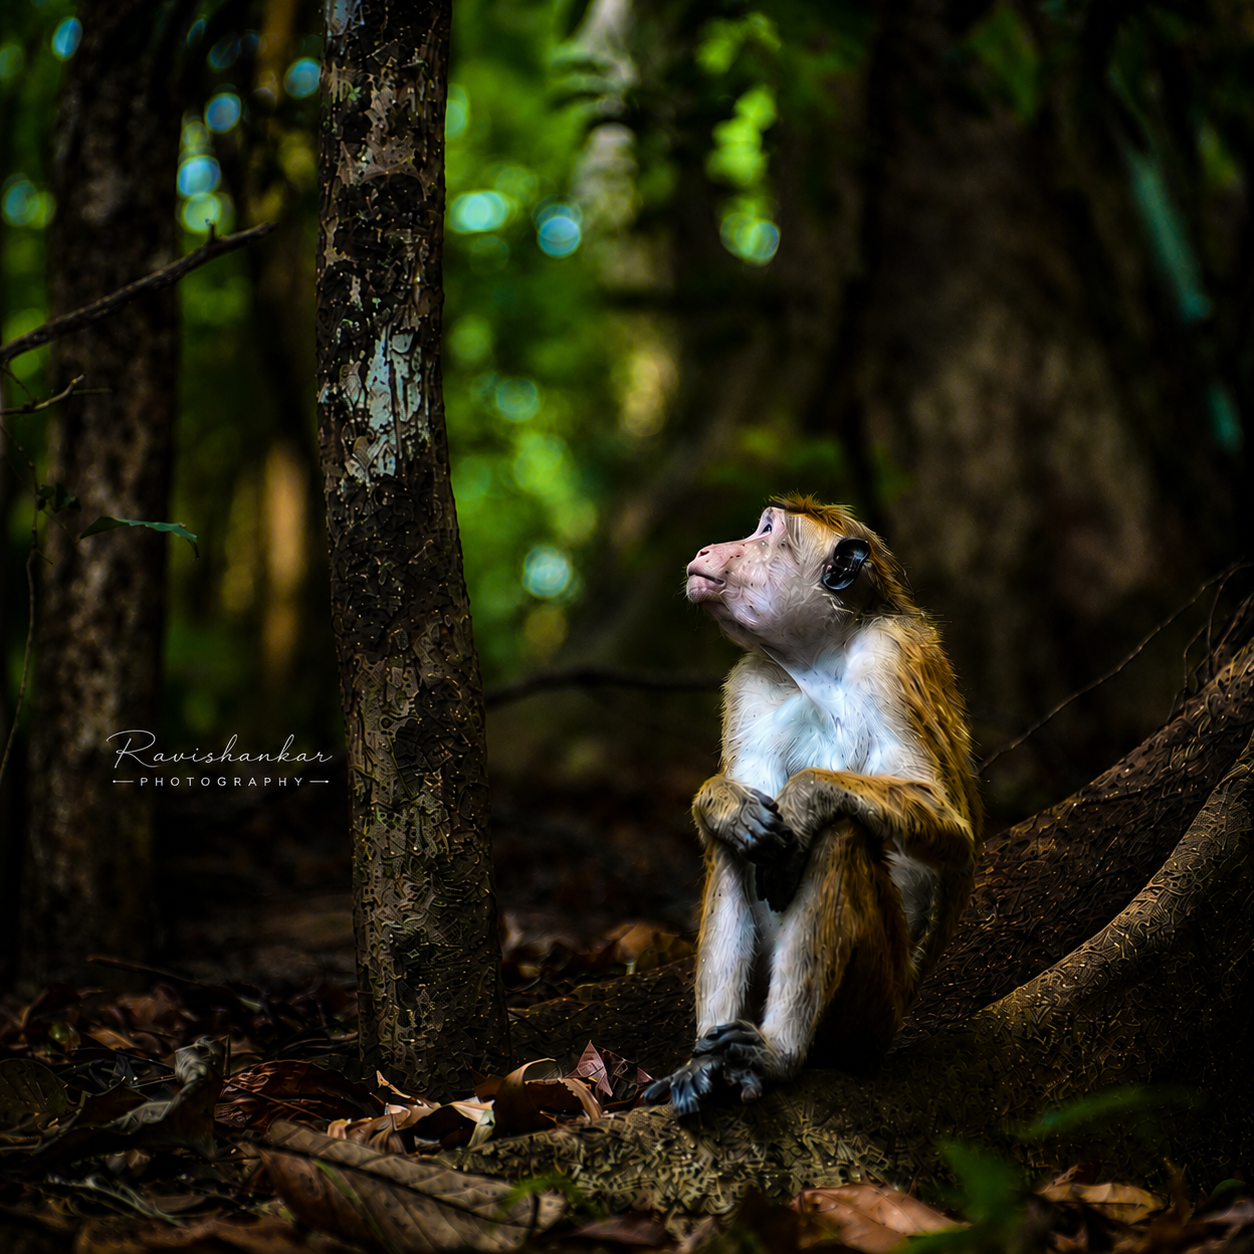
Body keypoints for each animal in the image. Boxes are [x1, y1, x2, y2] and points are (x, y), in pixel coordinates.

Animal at [642, 495, 981, 1117]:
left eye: (765, 531)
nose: (707, 548)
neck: (817, 662)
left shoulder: (893, 659)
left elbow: (948, 821)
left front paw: (802, 800)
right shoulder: (750, 682)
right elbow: (739, 813)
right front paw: (725, 803)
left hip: (870, 1017)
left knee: (842, 833)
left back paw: (779, 1054)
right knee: (739, 849)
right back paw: (706, 1063)